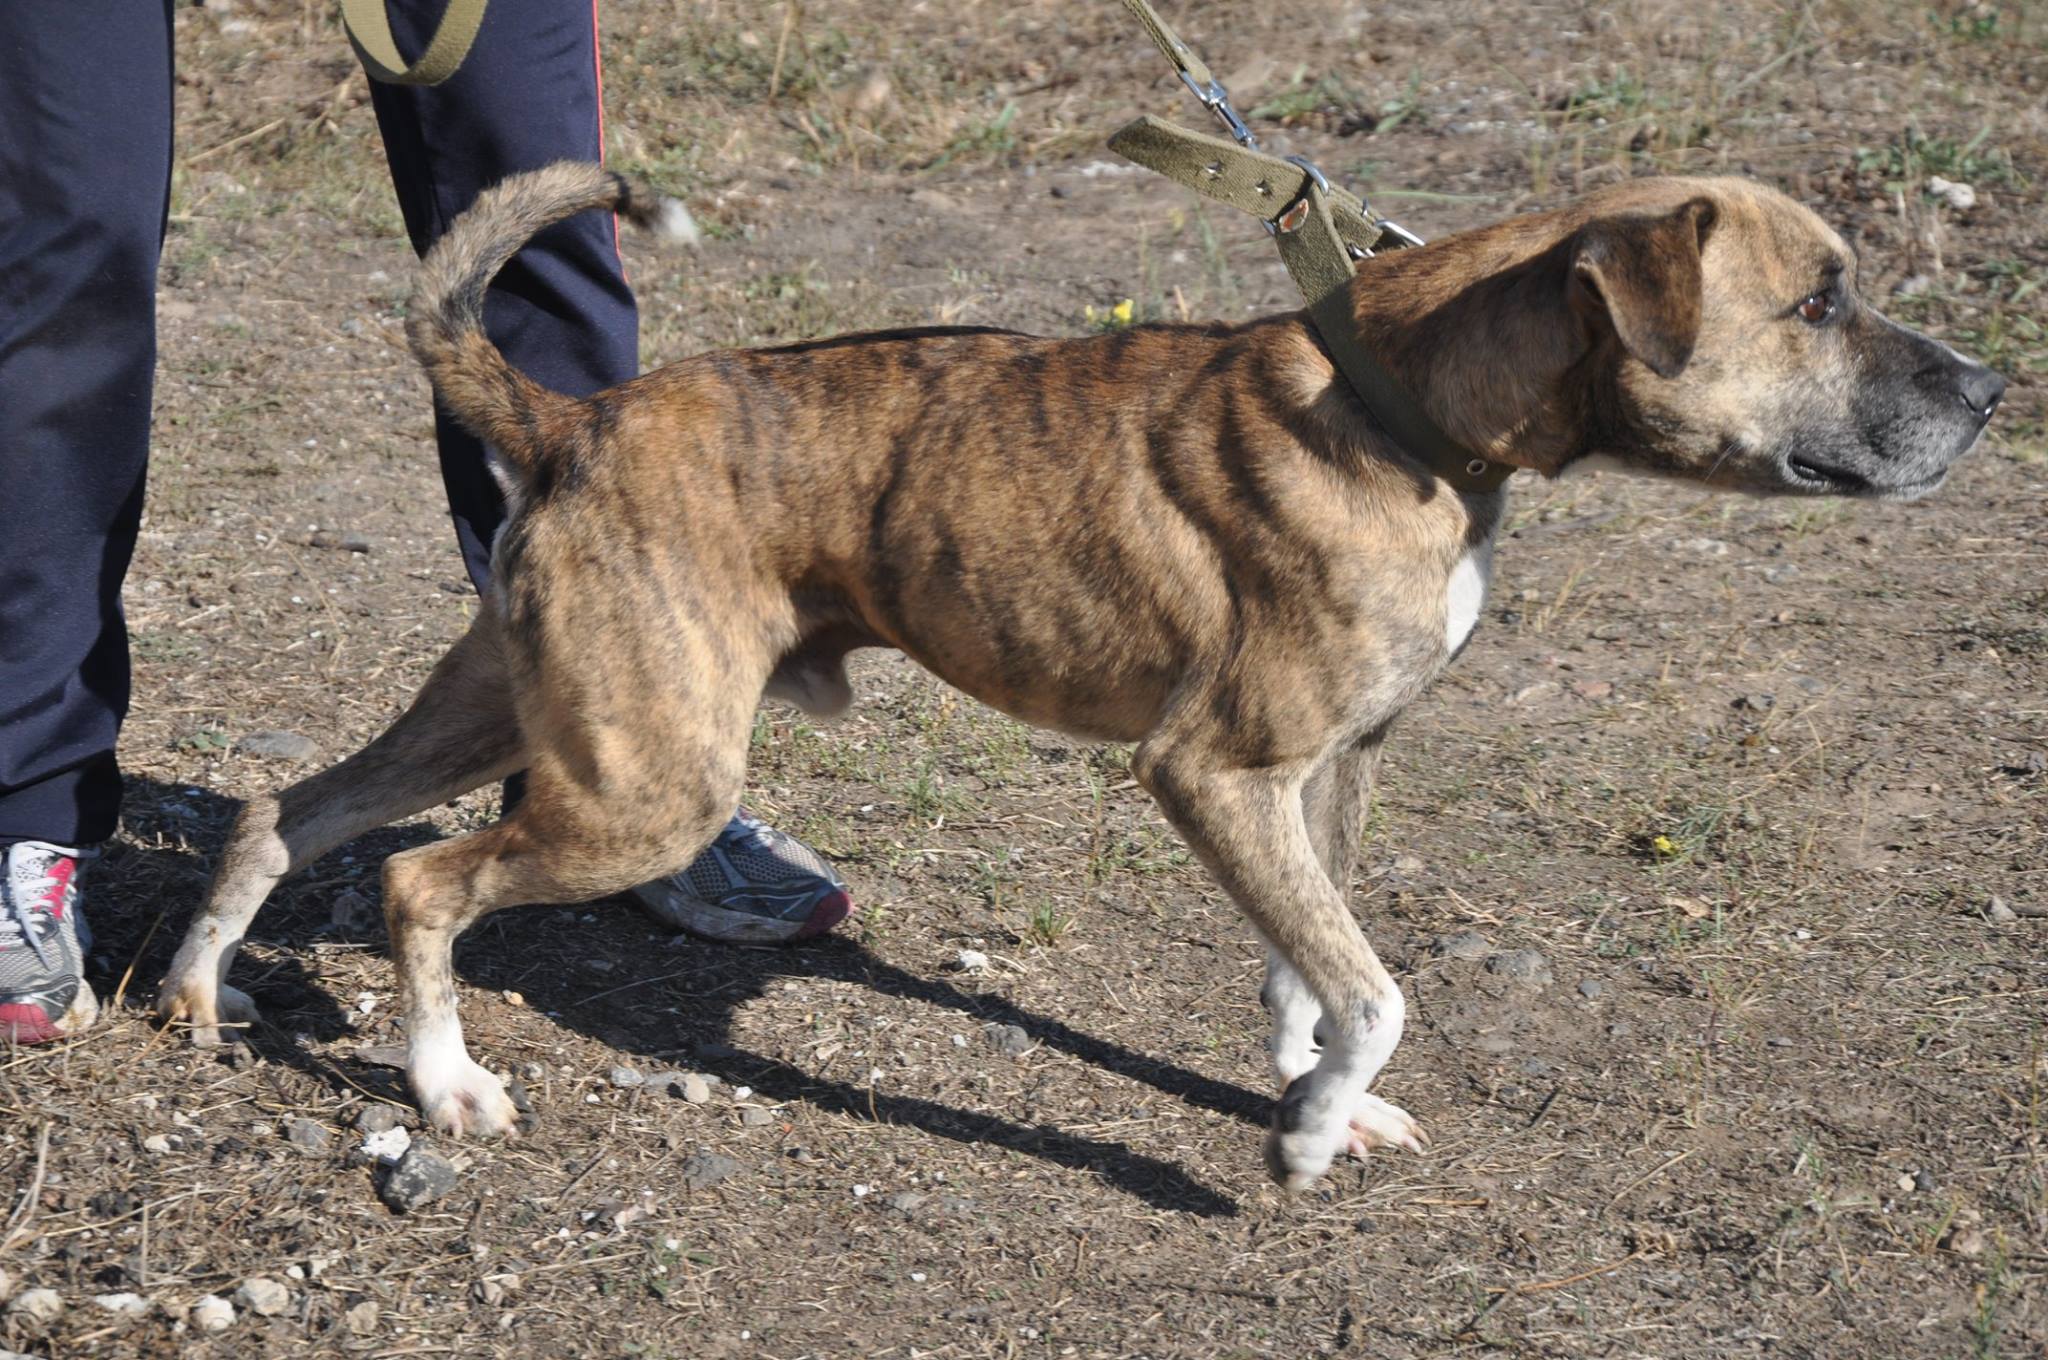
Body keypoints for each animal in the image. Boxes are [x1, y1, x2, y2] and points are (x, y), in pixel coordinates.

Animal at [155, 159, 1998, 1187]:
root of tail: (568, 416)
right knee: (418, 879)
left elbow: (1318, 967)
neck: (1408, 399)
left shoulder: (1328, 769)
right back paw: (445, 1084)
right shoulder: (1214, 769)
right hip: (646, 788)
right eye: (1818, 303)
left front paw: (1318, 1097)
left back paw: (196, 992)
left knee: (289, 809)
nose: (1988, 394)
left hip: (516, 709)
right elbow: (1377, 986)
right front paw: (1306, 1140)